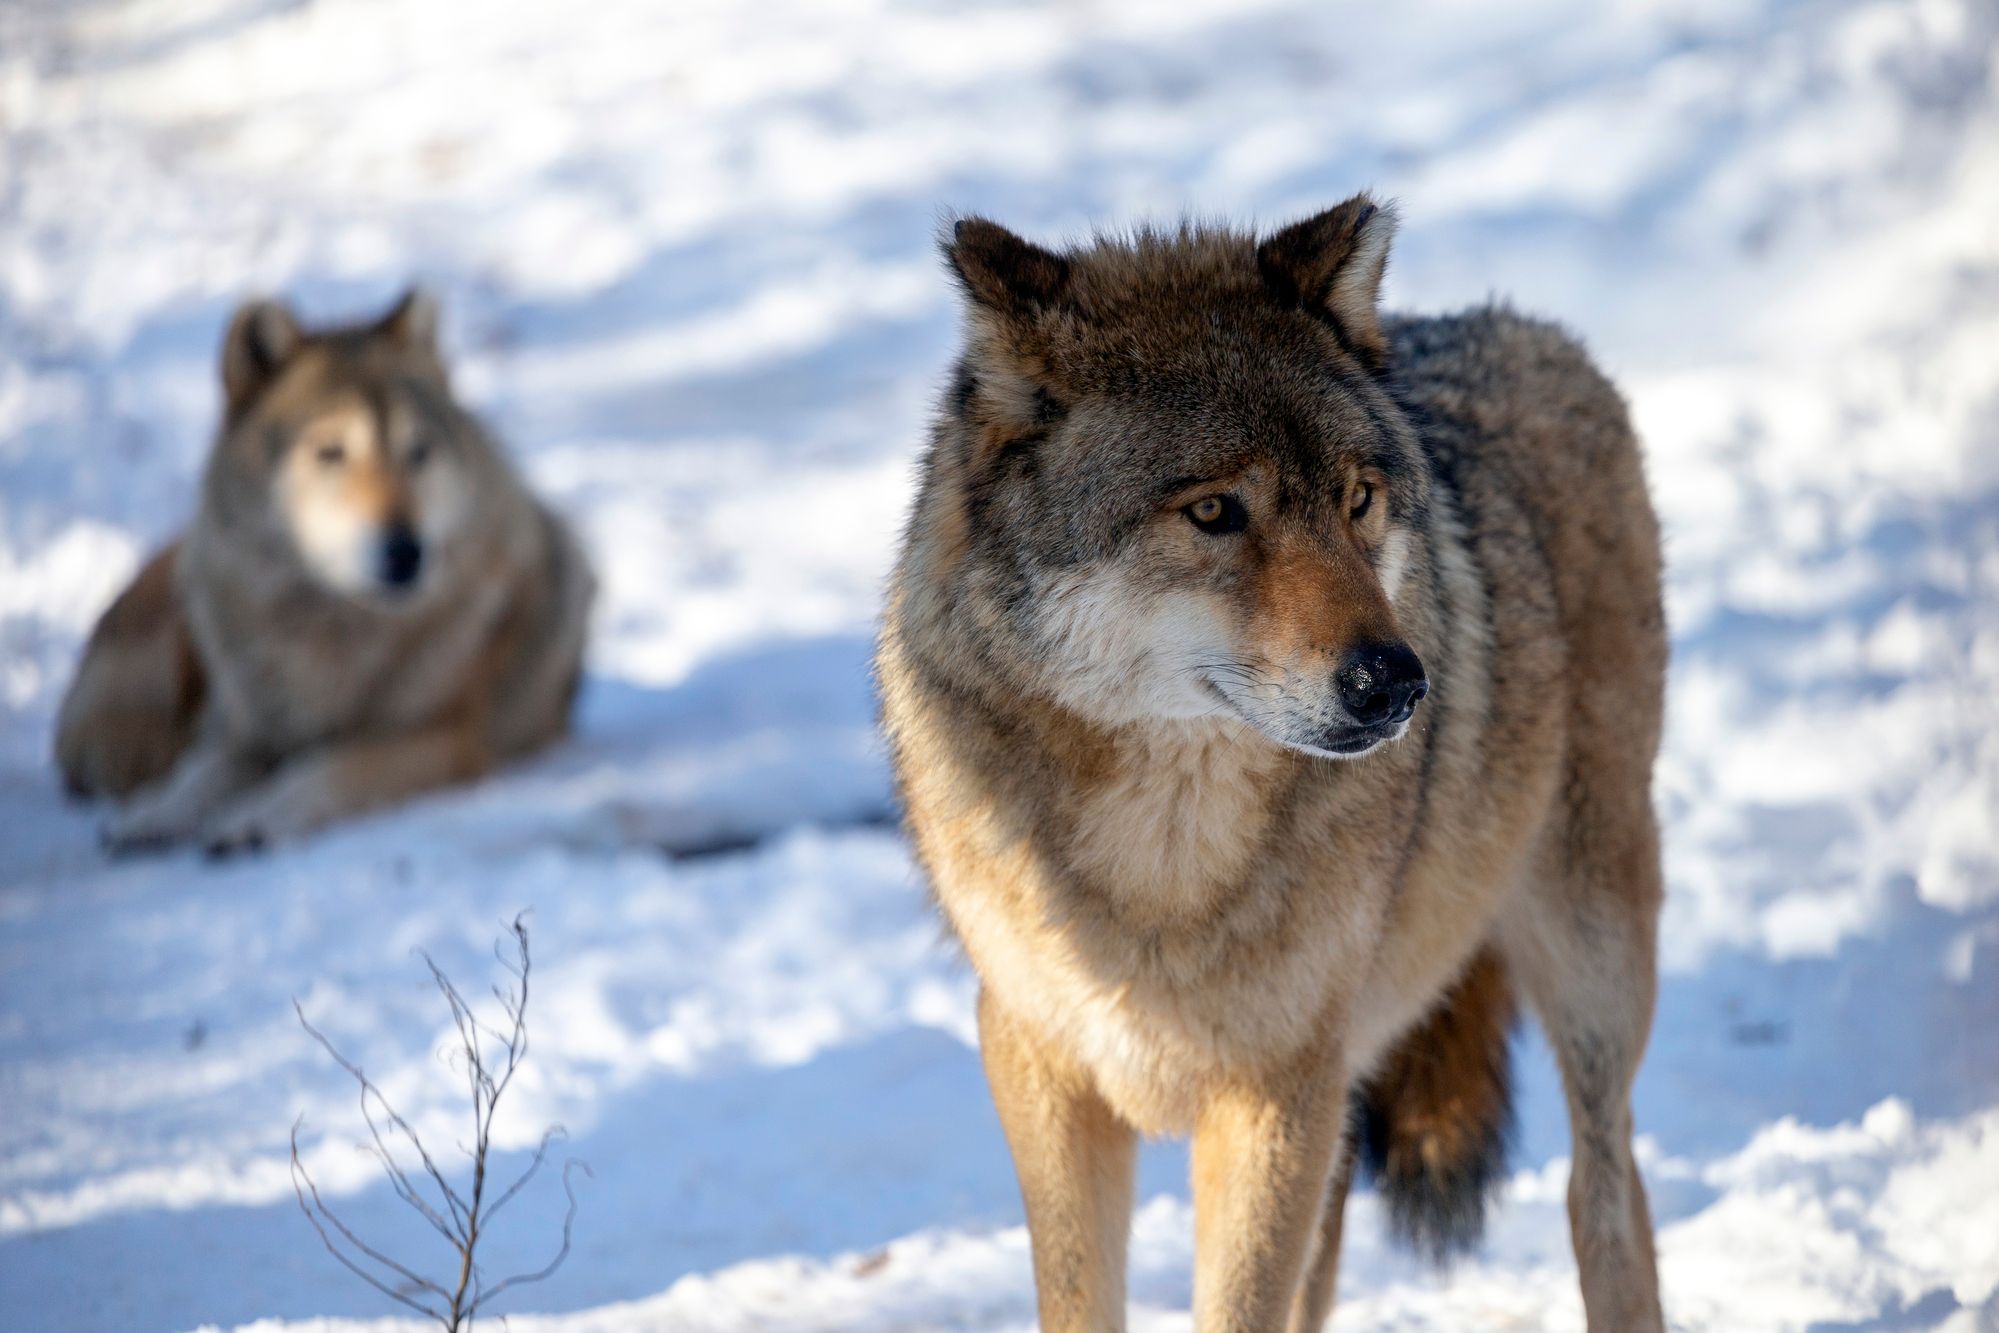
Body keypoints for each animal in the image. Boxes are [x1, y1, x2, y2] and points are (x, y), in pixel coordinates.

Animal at [56, 291, 591, 855]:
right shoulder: (246, 735)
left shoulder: (442, 740)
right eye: (331, 453)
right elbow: (200, 776)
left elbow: (323, 768)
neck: (334, 630)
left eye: (418, 453)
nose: (407, 552)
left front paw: (255, 817)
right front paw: (152, 815)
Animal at [879, 197, 1671, 1333]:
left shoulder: (1272, 1092)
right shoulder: (1042, 1066)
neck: (1161, 865)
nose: (1397, 681)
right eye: (1214, 511)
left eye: (1355, 498)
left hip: (1591, 960)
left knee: (1603, 1194)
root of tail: (1520, 325)